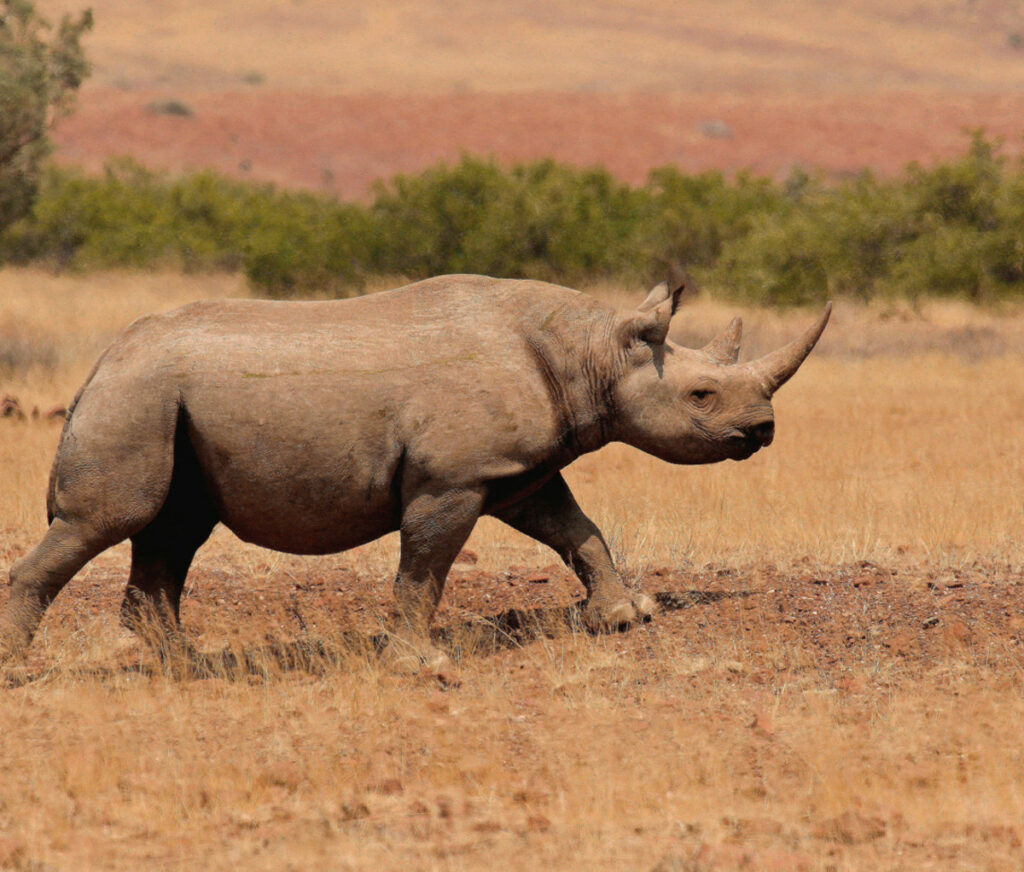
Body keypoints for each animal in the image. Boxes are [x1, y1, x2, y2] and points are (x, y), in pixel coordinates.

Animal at [0, 274, 830, 673]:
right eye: (702, 396)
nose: (762, 432)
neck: (592, 350)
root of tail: (101, 360)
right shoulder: (451, 478)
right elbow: (426, 565)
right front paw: (420, 659)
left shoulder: (516, 468)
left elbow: (575, 528)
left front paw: (626, 617)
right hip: (136, 396)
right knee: (110, 520)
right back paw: (21, 666)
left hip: (163, 399)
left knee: (173, 528)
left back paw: (180, 662)